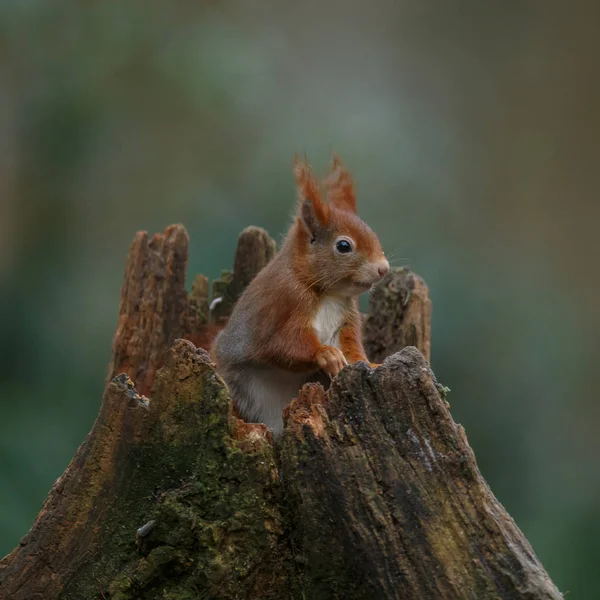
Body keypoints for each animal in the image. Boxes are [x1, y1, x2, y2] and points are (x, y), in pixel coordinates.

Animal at [211, 155, 390, 436]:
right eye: (343, 246)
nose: (384, 269)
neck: (329, 295)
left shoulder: (345, 319)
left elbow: (352, 349)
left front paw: (370, 365)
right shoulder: (287, 305)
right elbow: (283, 344)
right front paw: (326, 354)